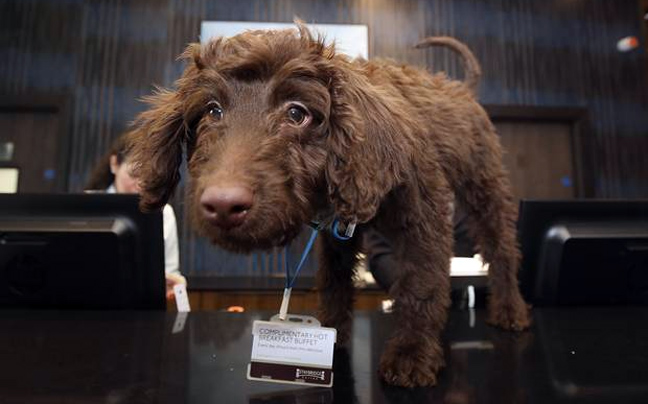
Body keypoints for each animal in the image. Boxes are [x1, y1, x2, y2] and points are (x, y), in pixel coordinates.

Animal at [129, 22, 528, 388]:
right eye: (212, 111)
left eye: (296, 113)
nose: (224, 205)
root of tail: (462, 89)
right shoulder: (338, 234)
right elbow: (335, 280)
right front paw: (332, 332)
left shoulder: (424, 220)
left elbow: (422, 283)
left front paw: (412, 353)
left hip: (485, 188)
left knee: (502, 250)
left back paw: (510, 309)